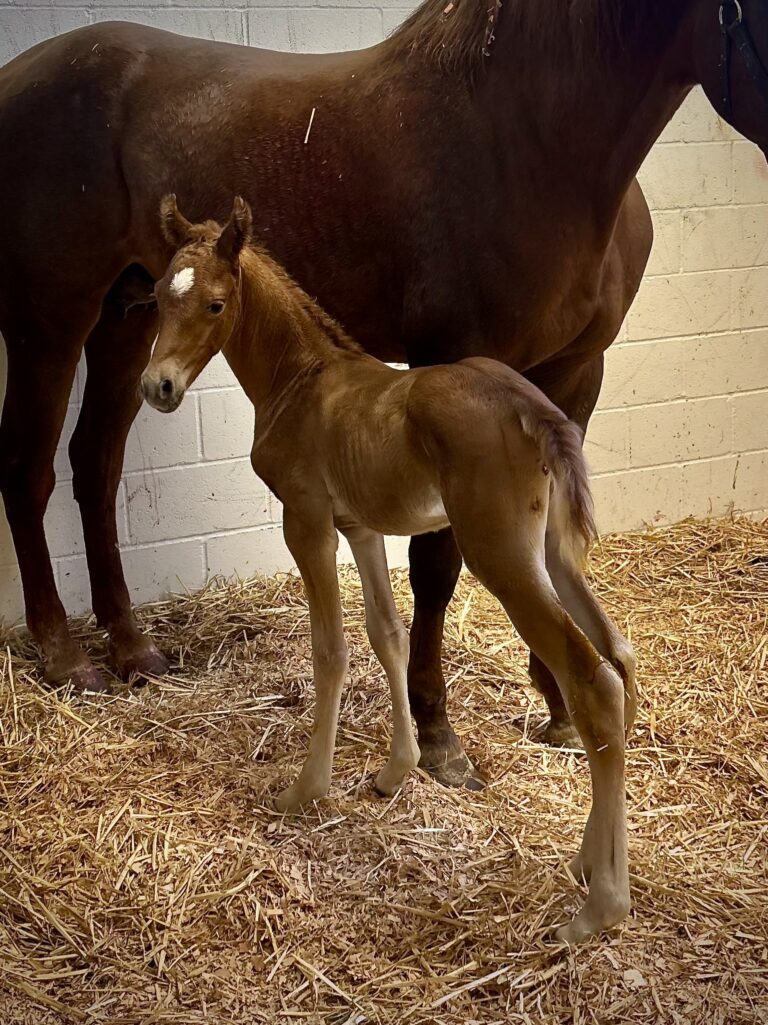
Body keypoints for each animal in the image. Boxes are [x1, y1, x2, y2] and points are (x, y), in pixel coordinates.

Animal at [0, 0, 766, 787]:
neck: (527, 141)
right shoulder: (456, 366)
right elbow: (435, 564)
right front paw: (437, 733)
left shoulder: (577, 373)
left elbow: (555, 540)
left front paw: (556, 704)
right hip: (49, 323)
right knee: (29, 469)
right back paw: (65, 656)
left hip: (127, 320)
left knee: (95, 465)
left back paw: (132, 648)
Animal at [141, 195, 638, 941]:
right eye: (157, 297)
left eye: (215, 303)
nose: (158, 386)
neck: (303, 378)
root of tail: (531, 407)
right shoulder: (362, 525)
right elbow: (388, 634)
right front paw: (394, 773)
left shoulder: (307, 519)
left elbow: (332, 648)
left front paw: (305, 789)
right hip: (553, 552)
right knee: (621, 655)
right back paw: (589, 864)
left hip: (500, 553)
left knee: (594, 682)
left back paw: (599, 909)